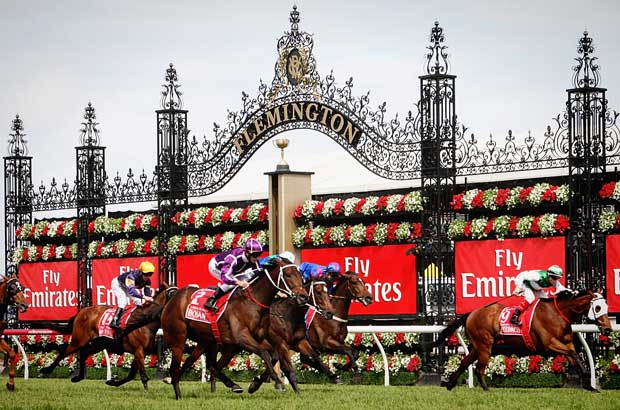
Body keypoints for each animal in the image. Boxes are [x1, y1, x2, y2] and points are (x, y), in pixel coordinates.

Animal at [40, 284, 177, 390]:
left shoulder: (141, 352)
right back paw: (46, 370)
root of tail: (81, 312)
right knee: (64, 352)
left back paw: (78, 377)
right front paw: (147, 391)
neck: (145, 323)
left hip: (99, 344)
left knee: (83, 353)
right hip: (79, 340)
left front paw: (112, 382)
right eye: (173, 293)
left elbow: (131, 375)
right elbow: (142, 375)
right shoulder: (138, 350)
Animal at [159, 258, 306, 398]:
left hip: (207, 341)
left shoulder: (256, 338)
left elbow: (274, 355)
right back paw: (178, 395)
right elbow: (264, 353)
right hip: (178, 338)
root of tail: (174, 297)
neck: (251, 303)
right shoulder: (242, 338)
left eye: (300, 275)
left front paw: (255, 383)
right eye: (288, 274)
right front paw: (278, 383)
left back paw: (233, 385)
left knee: (204, 365)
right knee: (175, 368)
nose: (303, 296)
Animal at [426, 288, 612, 390]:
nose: (608, 329)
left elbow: (575, 357)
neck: (558, 313)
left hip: (478, 346)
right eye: (597, 307)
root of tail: (471, 313)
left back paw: (450, 384)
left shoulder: (566, 343)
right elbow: (573, 355)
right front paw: (588, 382)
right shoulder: (548, 345)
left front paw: (589, 385)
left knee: (465, 362)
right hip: (485, 345)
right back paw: (486, 389)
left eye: (606, 306)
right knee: (479, 368)